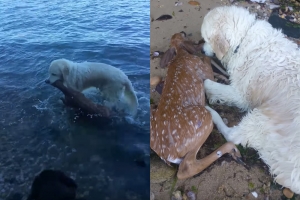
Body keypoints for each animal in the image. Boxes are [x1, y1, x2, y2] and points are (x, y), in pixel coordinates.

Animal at [150, 32, 244, 179]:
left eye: (177, 35)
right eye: (182, 35)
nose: (183, 32)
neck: (180, 54)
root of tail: (167, 153)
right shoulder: (204, 70)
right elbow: (206, 60)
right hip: (203, 119)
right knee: (186, 168)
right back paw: (232, 149)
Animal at [200, 5, 300, 194]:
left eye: (207, 39)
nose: (201, 51)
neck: (244, 38)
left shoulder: (240, 94)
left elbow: (211, 85)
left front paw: (205, 83)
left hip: (262, 117)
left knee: (233, 136)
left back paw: (211, 113)